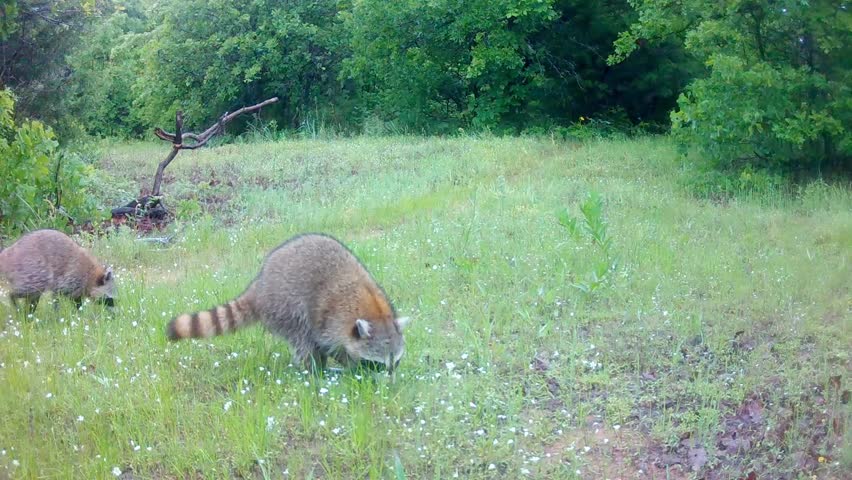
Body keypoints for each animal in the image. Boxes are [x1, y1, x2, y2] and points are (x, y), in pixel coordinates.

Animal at [167, 233, 411, 374]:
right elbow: (328, 344)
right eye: (377, 363)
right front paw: (353, 367)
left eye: (396, 362)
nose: (389, 384)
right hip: (285, 308)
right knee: (303, 338)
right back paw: (316, 372)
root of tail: (260, 285)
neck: (375, 312)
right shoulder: (332, 321)